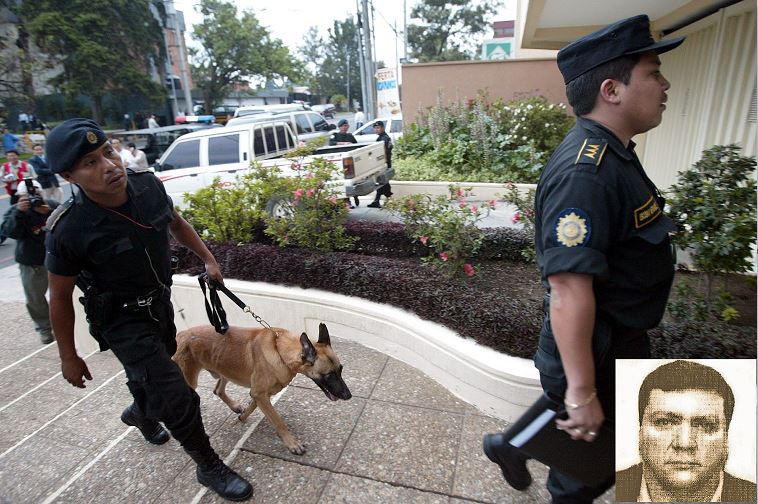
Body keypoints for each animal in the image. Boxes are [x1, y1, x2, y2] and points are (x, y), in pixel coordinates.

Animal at [174, 322, 352, 456]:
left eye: (340, 370)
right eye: (329, 375)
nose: (349, 396)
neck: (280, 350)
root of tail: (180, 334)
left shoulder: (260, 394)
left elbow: (253, 406)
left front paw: (243, 416)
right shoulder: (260, 394)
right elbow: (278, 421)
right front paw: (291, 443)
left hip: (224, 370)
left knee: (217, 390)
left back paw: (235, 406)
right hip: (191, 381)